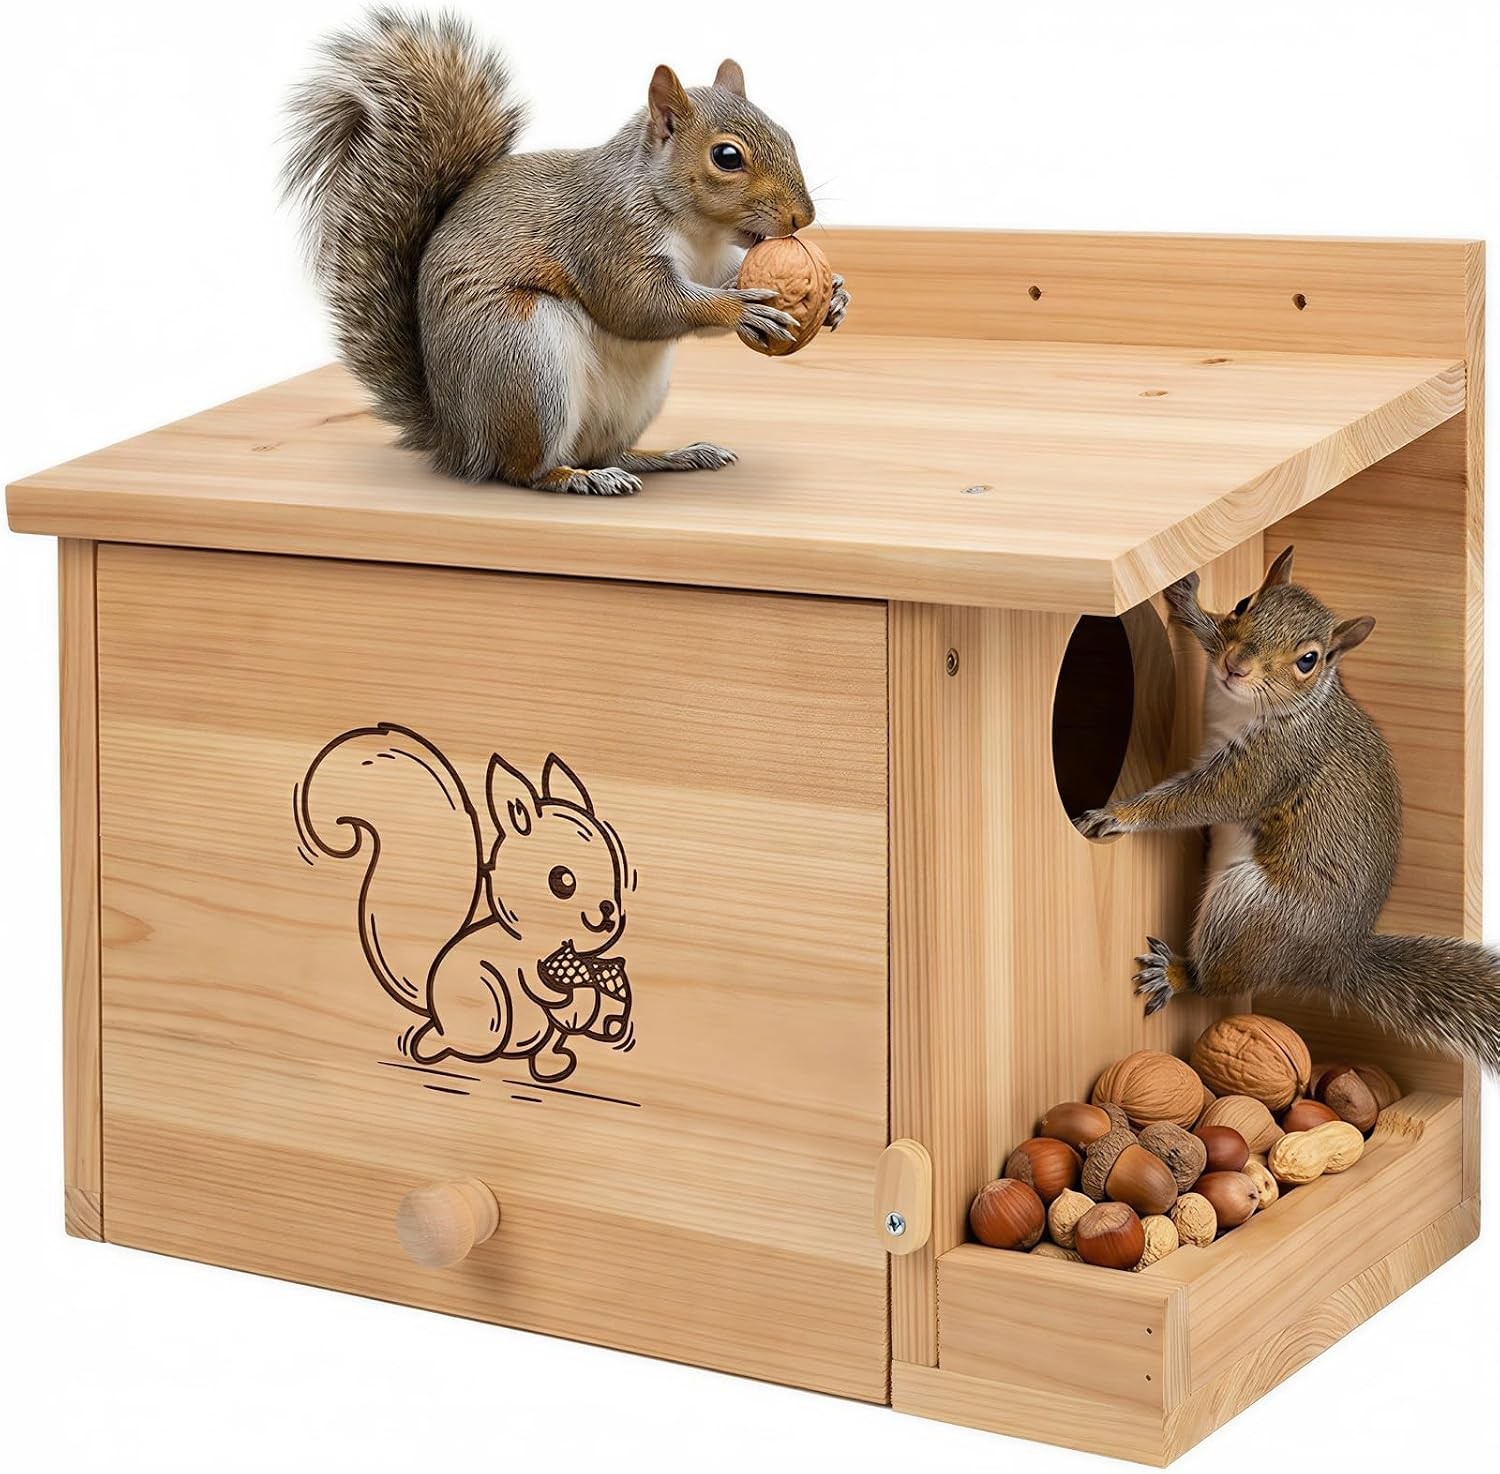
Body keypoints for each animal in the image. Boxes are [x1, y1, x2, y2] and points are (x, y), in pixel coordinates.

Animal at [282, 7, 846, 494]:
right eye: (727, 156)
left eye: (786, 134)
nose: (803, 217)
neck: (699, 231)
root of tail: (456, 438)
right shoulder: (607, 236)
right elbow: (640, 305)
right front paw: (740, 309)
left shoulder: (710, 260)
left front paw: (835, 295)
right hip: (522, 358)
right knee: (521, 470)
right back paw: (575, 479)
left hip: (631, 398)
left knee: (608, 451)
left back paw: (670, 456)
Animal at [298, 724, 632, 1084]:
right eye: (562, 880)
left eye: (616, 872)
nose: (607, 913)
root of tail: (432, 1004)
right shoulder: (524, 964)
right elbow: (538, 984)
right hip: (488, 1006)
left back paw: (550, 1063)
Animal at [1076, 547, 1500, 1072]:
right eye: (1243, 604)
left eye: (1308, 660)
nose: (1235, 665)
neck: (1256, 705)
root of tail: (1331, 957)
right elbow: (1209, 631)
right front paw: (1189, 603)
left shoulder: (1272, 764)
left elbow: (1201, 800)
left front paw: (1120, 815)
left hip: (1247, 911)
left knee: (1216, 982)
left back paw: (1173, 973)